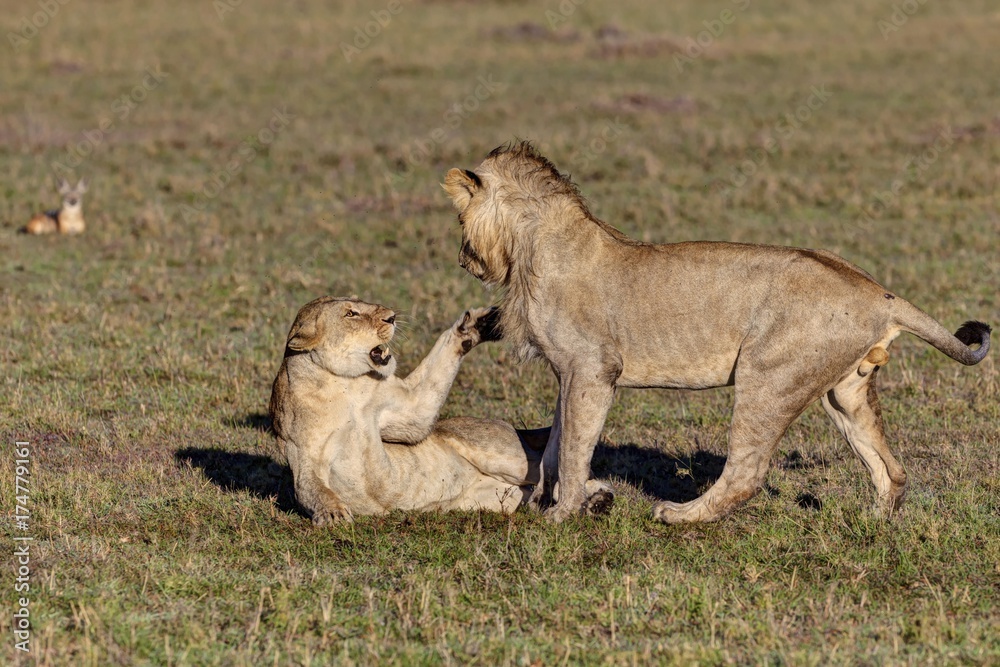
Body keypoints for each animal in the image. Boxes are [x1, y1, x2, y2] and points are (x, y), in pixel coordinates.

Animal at [268, 296, 613, 524]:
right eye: (351, 313)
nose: (391, 316)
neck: (341, 383)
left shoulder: (405, 411)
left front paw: (472, 327)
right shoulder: (303, 454)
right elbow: (311, 488)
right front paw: (334, 514)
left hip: (507, 457)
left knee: (556, 473)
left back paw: (597, 499)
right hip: (503, 496)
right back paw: (594, 504)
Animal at [442, 141, 991, 524]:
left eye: (459, 217)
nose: (464, 260)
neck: (531, 248)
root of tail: (879, 292)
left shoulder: (592, 371)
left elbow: (575, 447)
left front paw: (561, 514)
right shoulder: (568, 375)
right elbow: (556, 443)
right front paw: (541, 498)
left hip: (767, 375)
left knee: (747, 471)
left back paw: (680, 516)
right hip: (845, 389)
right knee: (890, 468)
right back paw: (873, 521)